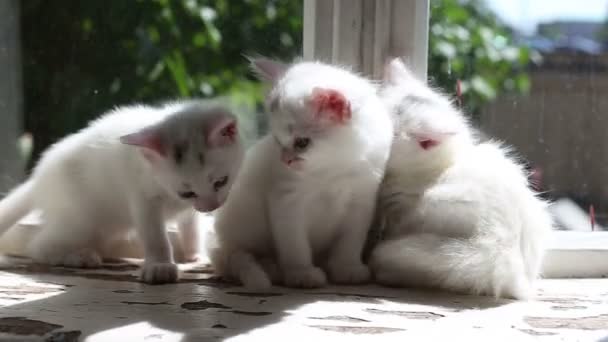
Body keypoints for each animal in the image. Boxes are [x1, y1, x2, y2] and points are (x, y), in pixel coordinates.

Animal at [0, 100, 245, 284]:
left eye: (221, 182)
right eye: (187, 193)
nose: (212, 206)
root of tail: (37, 178)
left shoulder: (189, 207)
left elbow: (191, 223)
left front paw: (195, 253)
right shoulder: (141, 196)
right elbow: (154, 234)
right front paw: (160, 266)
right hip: (82, 220)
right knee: (38, 246)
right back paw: (78, 256)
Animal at [210, 58, 394, 288]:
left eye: (302, 143)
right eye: (278, 140)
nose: (285, 160)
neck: (333, 169)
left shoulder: (361, 202)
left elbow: (350, 242)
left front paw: (347, 268)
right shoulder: (286, 201)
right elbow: (295, 244)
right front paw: (302, 274)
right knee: (234, 257)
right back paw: (271, 268)